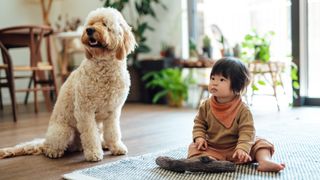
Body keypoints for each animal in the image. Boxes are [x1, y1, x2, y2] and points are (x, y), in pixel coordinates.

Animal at [0, 7, 136, 162]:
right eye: (91, 23)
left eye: (105, 24)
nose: (89, 30)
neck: (105, 67)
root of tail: (44, 140)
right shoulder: (85, 111)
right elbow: (90, 134)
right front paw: (94, 153)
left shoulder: (113, 112)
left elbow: (113, 132)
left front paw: (116, 147)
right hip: (64, 132)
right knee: (51, 147)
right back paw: (54, 152)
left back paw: (104, 144)